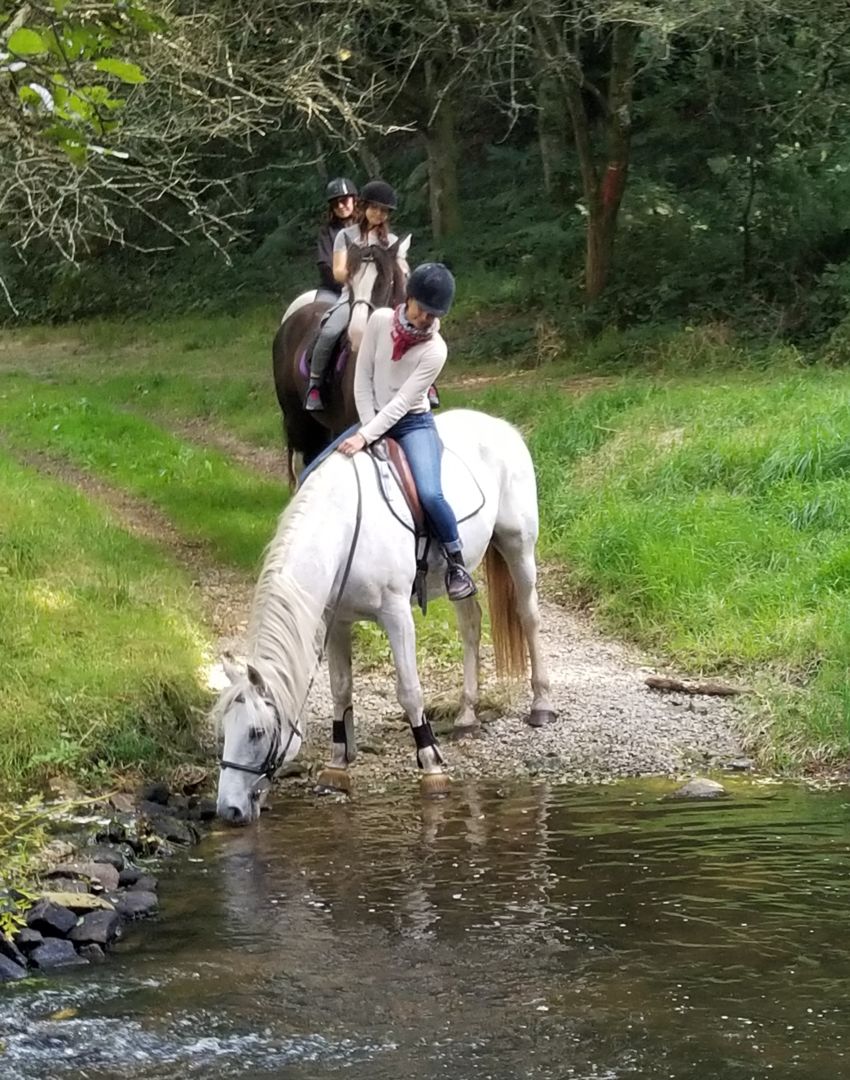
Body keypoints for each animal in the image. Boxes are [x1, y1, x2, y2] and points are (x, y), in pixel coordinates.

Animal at [216, 408, 557, 820]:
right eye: (225, 730)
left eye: (257, 733)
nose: (229, 810)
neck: (344, 528)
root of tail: (500, 426)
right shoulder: (337, 620)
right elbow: (341, 688)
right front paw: (337, 765)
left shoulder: (396, 615)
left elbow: (409, 690)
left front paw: (432, 766)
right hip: (463, 571)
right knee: (471, 623)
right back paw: (466, 716)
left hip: (518, 545)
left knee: (529, 616)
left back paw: (541, 705)